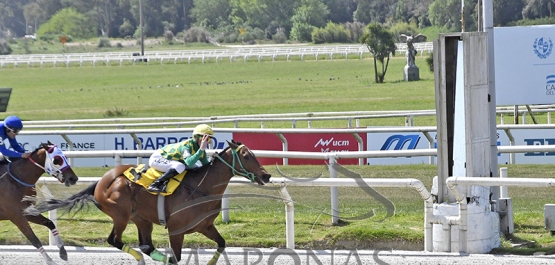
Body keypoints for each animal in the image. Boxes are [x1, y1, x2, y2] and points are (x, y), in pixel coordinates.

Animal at [28, 139, 272, 262]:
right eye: (247, 156)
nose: (267, 175)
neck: (201, 188)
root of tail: (102, 181)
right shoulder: (176, 230)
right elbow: (176, 258)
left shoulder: (205, 226)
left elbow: (221, 244)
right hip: (120, 214)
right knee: (115, 240)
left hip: (142, 219)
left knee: (146, 244)